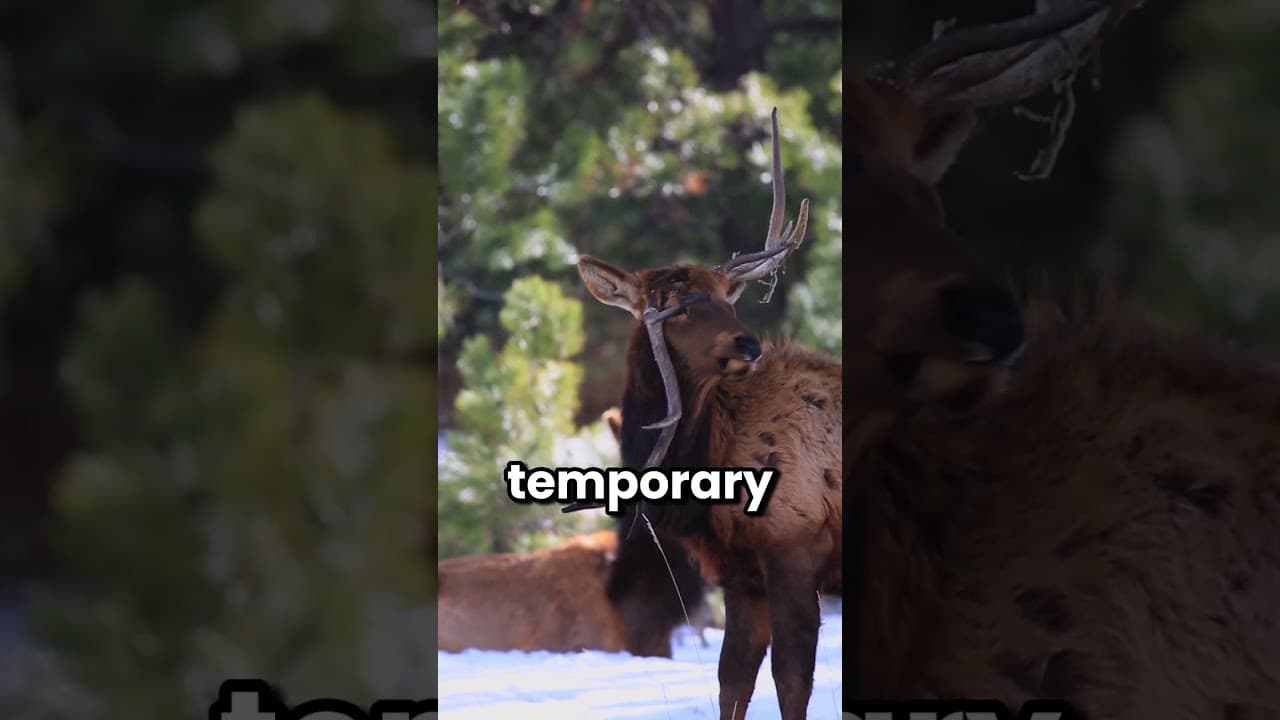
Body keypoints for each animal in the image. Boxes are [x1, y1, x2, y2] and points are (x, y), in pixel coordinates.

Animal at [569, 109, 841, 720]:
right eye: (670, 307)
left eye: (724, 295)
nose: (748, 343)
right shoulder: (739, 574)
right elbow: (731, 681)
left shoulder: (794, 547)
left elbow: (792, 682)